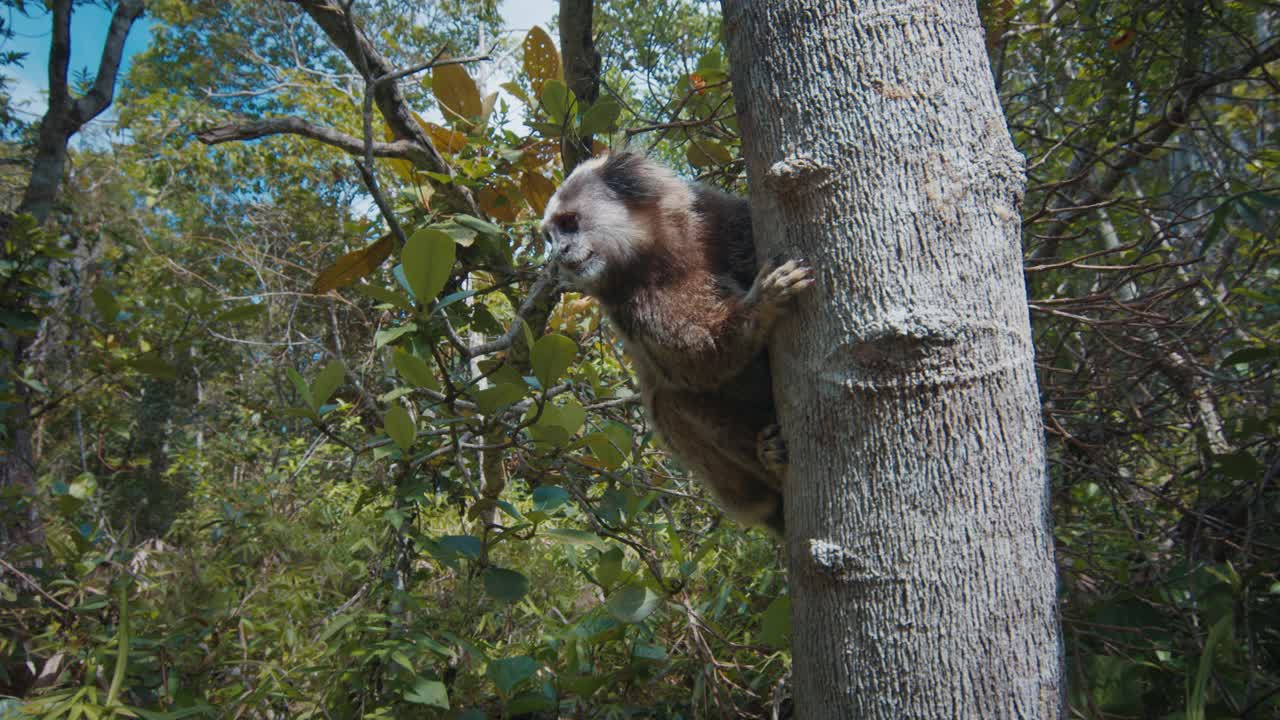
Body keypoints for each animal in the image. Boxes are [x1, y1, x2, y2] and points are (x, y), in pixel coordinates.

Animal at [540, 152, 808, 532]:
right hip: (735, 489)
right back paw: (768, 460)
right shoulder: (633, 308)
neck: (662, 257)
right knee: (670, 403)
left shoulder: (722, 219)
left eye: (569, 223)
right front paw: (762, 303)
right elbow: (702, 359)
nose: (560, 252)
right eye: (549, 236)